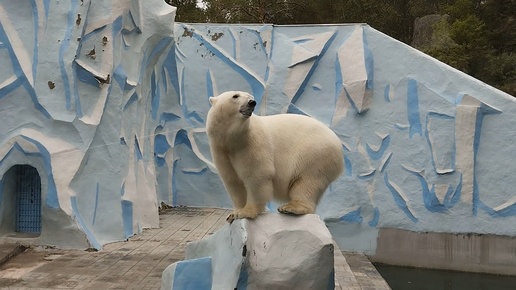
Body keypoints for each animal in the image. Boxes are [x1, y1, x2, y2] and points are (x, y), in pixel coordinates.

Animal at [206, 92, 342, 223]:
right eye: (235, 96)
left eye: (250, 96)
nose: (252, 102)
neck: (232, 139)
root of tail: (338, 143)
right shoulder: (221, 150)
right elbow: (232, 181)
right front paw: (234, 214)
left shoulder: (252, 143)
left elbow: (257, 175)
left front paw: (247, 212)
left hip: (314, 152)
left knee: (307, 181)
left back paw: (291, 207)